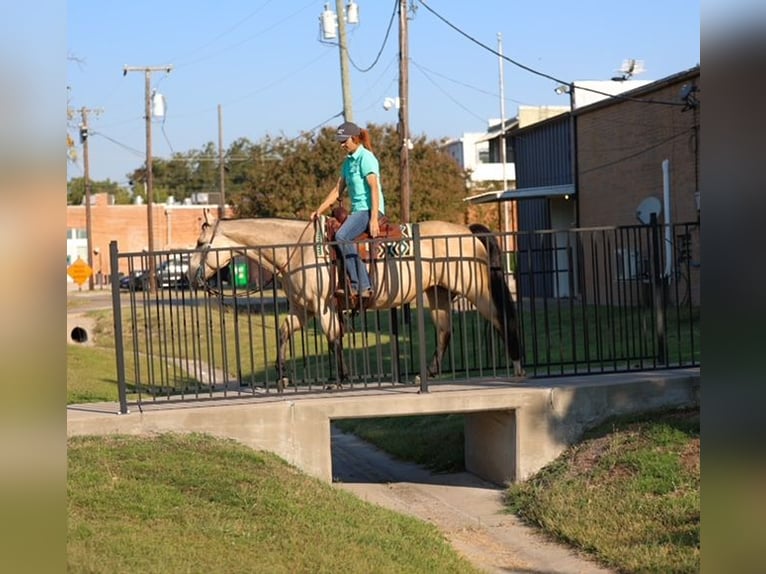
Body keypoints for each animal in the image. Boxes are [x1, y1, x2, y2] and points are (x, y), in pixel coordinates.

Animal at [188, 215, 524, 387]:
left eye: (201, 243)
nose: (191, 276)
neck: (299, 249)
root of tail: (466, 229)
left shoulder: (323, 306)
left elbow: (333, 338)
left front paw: (340, 379)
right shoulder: (302, 309)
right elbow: (284, 332)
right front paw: (282, 374)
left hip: (474, 287)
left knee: (500, 318)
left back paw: (517, 366)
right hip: (437, 292)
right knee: (444, 331)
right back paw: (427, 373)